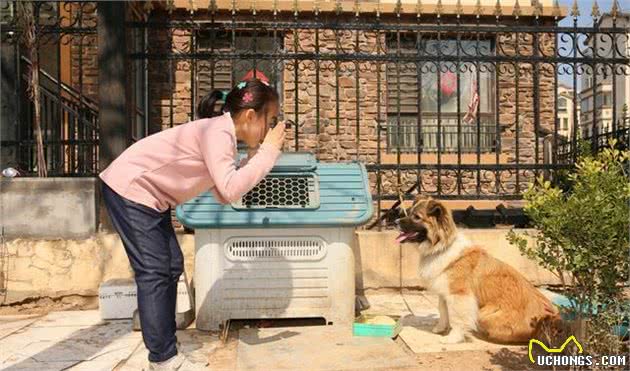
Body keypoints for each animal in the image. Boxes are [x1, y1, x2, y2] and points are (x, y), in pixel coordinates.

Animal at [398, 198, 560, 346]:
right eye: (410, 213)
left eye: (417, 217)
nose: (397, 221)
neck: (442, 247)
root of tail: (548, 319)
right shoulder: (444, 293)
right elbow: (443, 312)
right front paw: (440, 329)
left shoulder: (459, 295)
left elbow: (456, 318)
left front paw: (452, 338)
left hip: (484, 315)